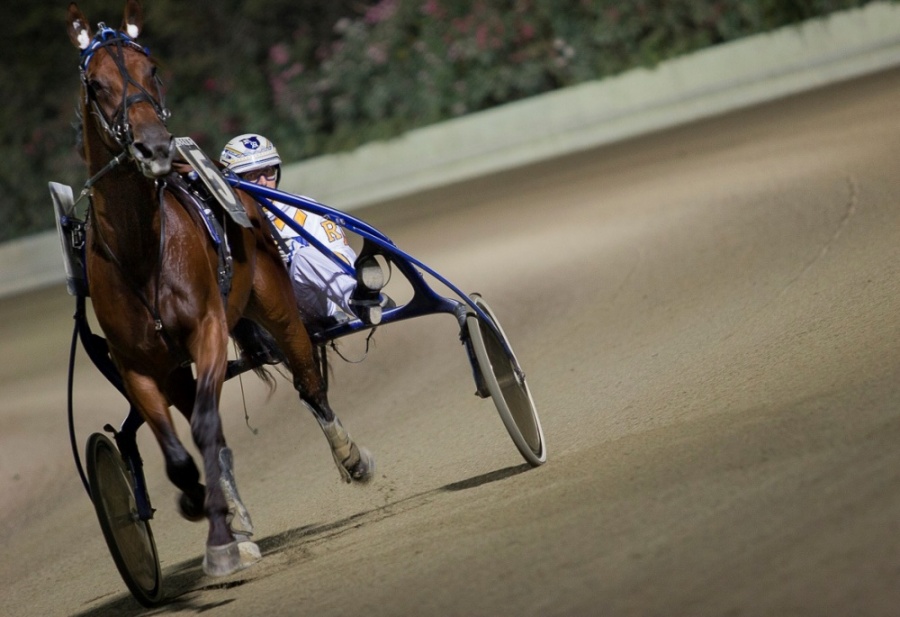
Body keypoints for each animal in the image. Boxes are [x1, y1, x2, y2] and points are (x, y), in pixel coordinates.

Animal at [67, 1, 372, 576]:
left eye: (152, 69)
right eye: (96, 84)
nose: (154, 147)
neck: (143, 252)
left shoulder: (207, 330)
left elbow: (209, 429)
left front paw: (220, 532)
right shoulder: (139, 368)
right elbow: (179, 453)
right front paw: (214, 518)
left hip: (277, 310)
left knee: (310, 386)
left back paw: (352, 456)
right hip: (176, 371)